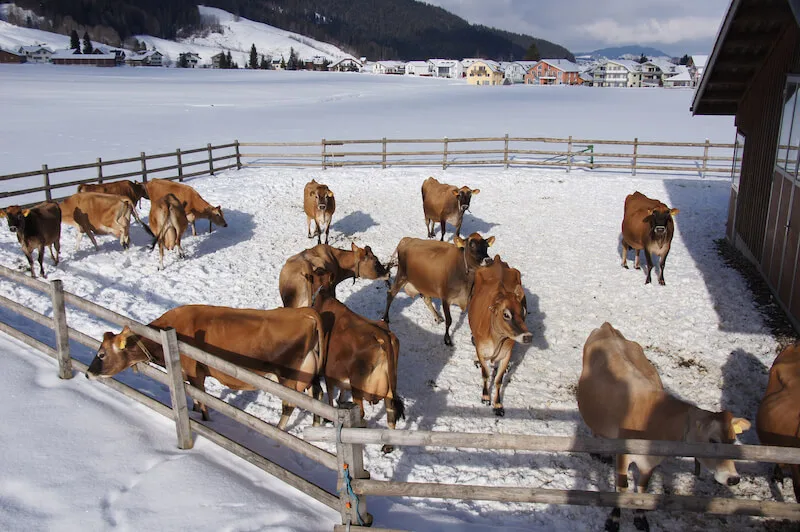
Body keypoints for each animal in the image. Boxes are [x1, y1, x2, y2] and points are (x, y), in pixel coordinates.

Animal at [86, 304, 328, 430]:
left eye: (102, 354)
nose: (88, 373)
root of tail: (304, 311)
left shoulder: (195, 372)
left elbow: (202, 399)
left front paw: (205, 419)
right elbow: (194, 397)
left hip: (288, 376)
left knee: (289, 405)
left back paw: (278, 430)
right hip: (308, 373)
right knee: (316, 394)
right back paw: (315, 425)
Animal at [312, 289, 405, 453]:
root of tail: (381, 336)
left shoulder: (328, 373)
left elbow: (330, 396)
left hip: (358, 387)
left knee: (361, 413)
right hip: (389, 389)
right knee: (391, 415)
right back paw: (387, 446)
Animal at [468, 256, 531, 416]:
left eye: (523, 311)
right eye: (506, 314)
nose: (528, 336)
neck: (496, 340)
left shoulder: (506, 353)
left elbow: (498, 380)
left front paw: (497, 404)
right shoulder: (481, 349)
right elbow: (485, 373)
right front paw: (485, 397)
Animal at [578, 322, 751, 532]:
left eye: (733, 440)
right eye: (712, 440)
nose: (733, 478)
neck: (657, 420)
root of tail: (607, 327)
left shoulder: (651, 461)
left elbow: (643, 488)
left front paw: (640, 517)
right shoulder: (623, 455)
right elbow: (621, 488)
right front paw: (614, 520)